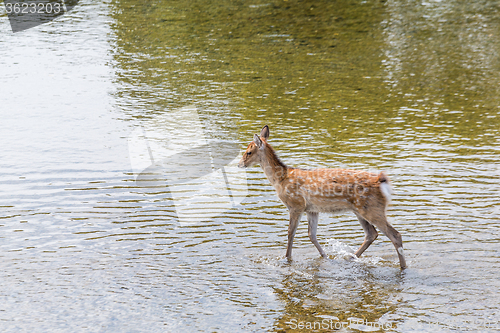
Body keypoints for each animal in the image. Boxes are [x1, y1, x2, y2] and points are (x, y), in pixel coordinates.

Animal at [238, 124, 406, 268]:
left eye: (249, 152)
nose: (239, 164)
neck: (281, 179)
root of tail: (382, 182)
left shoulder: (295, 205)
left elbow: (290, 233)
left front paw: (287, 258)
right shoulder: (312, 209)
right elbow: (311, 235)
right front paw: (325, 257)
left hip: (372, 209)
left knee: (395, 235)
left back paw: (402, 266)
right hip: (360, 210)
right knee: (372, 234)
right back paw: (350, 257)